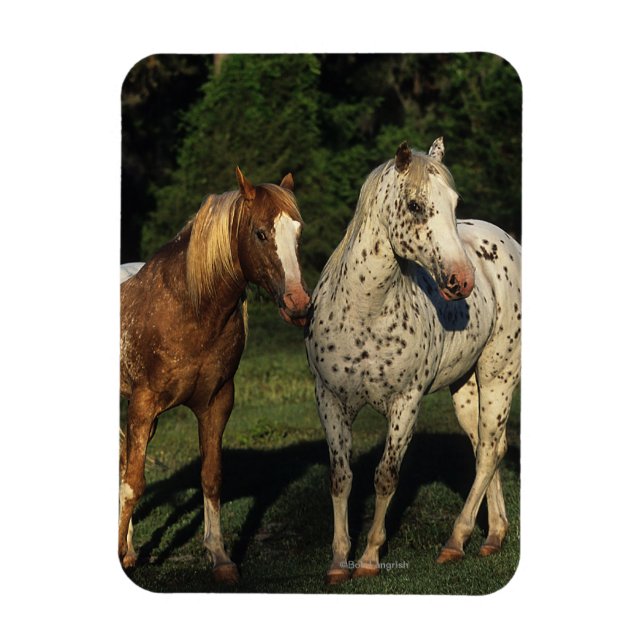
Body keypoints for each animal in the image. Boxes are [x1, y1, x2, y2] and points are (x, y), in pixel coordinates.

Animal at [120, 167, 310, 583]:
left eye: (298, 233)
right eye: (260, 233)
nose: (299, 304)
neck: (189, 307)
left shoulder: (216, 403)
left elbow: (211, 476)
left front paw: (219, 557)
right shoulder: (143, 405)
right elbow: (134, 485)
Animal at [305, 140, 521, 584]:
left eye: (454, 203)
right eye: (416, 205)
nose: (462, 280)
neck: (364, 312)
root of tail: (509, 242)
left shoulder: (406, 404)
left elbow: (386, 477)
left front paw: (369, 558)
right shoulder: (329, 400)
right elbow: (341, 478)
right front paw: (338, 561)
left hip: (498, 377)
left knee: (489, 452)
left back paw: (456, 541)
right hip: (466, 388)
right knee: (487, 448)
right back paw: (493, 536)